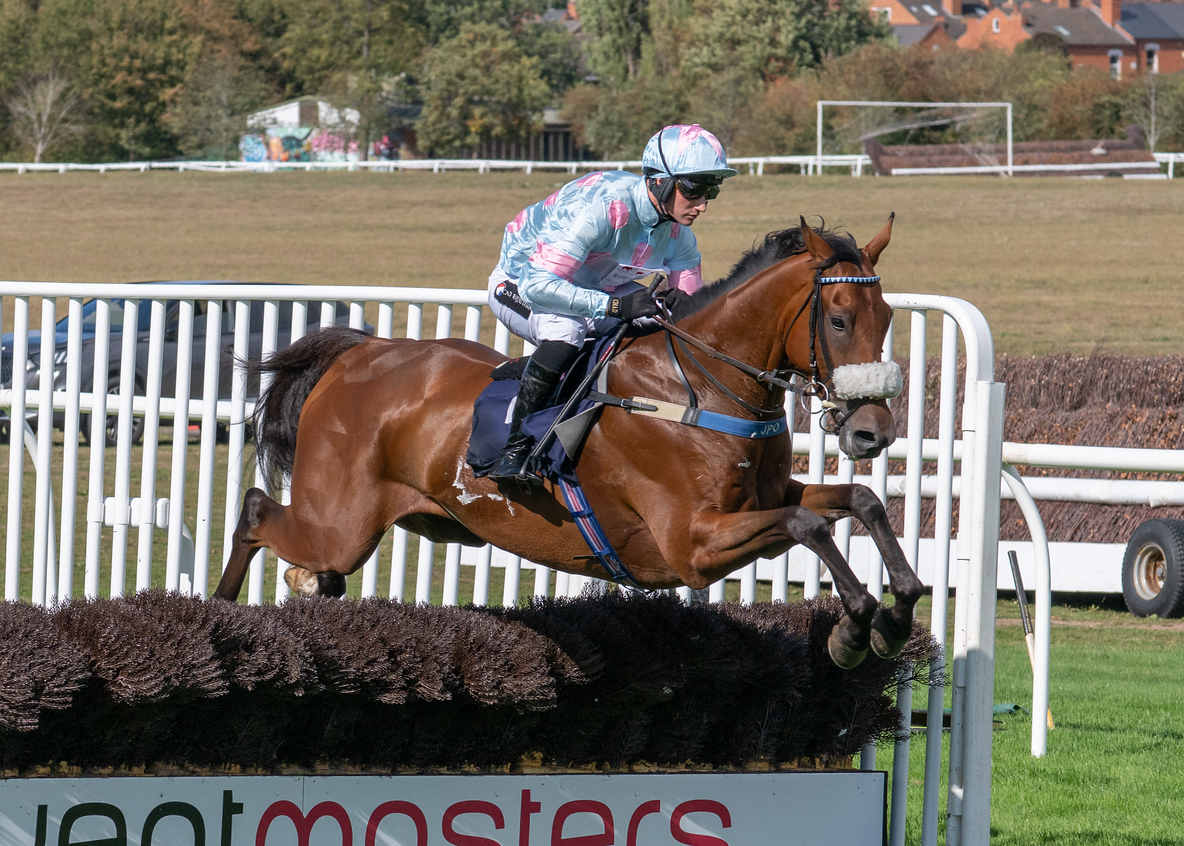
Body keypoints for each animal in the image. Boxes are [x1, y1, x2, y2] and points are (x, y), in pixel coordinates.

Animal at [213, 216, 925, 669]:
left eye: (889, 317)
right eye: (839, 320)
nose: (872, 430)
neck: (700, 382)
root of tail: (361, 351)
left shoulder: (766, 497)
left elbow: (858, 501)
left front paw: (896, 616)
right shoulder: (692, 545)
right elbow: (809, 524)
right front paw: (856, 625)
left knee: (302, 554)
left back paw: (304, 588)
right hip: (340, 521)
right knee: (255, 511)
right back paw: (220, 616)